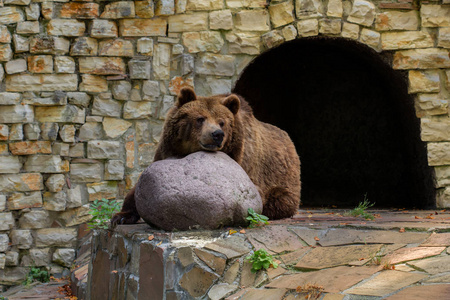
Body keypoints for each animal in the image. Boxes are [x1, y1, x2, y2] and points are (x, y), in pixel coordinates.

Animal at [110, 88, 300, 226]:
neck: (186, 151)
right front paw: (121, 216)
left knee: (280, 199)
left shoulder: (245, 163)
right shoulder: (166, 151)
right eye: (200, 118)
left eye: (222, 122)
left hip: (283, 181)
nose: (217, 134)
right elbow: (138, 188)